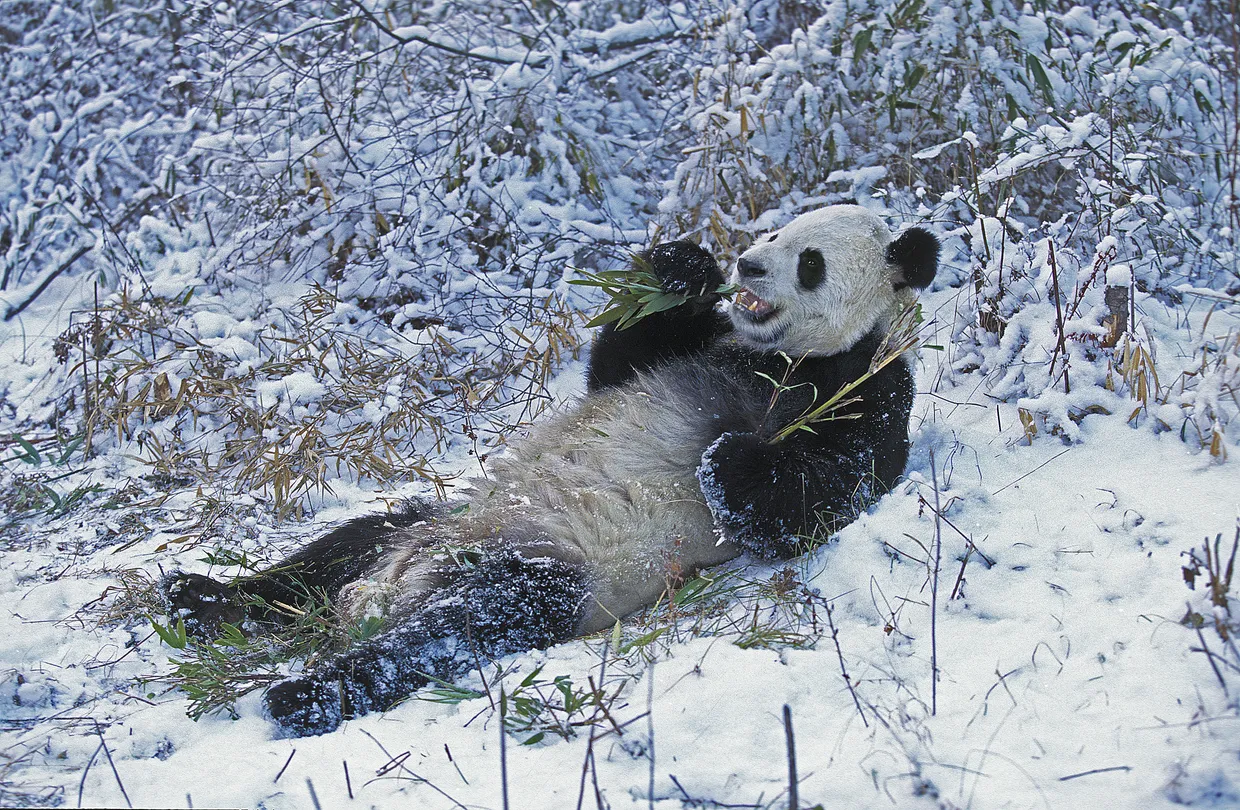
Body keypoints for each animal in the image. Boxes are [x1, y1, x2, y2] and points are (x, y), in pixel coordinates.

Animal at [161, 204, 939, 737]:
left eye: (809, 261)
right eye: (774, 233)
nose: (746, 265)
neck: (777, 356)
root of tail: (391, 586)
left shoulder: (865, 384)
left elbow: (820, 494)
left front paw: (729, 457)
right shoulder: (703, 347)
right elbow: (619, 363)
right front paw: (682, 267)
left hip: (546, 568)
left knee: (459, 626)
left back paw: (303, 693)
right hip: (429, 523)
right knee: (334, 552)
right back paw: (201, 598)